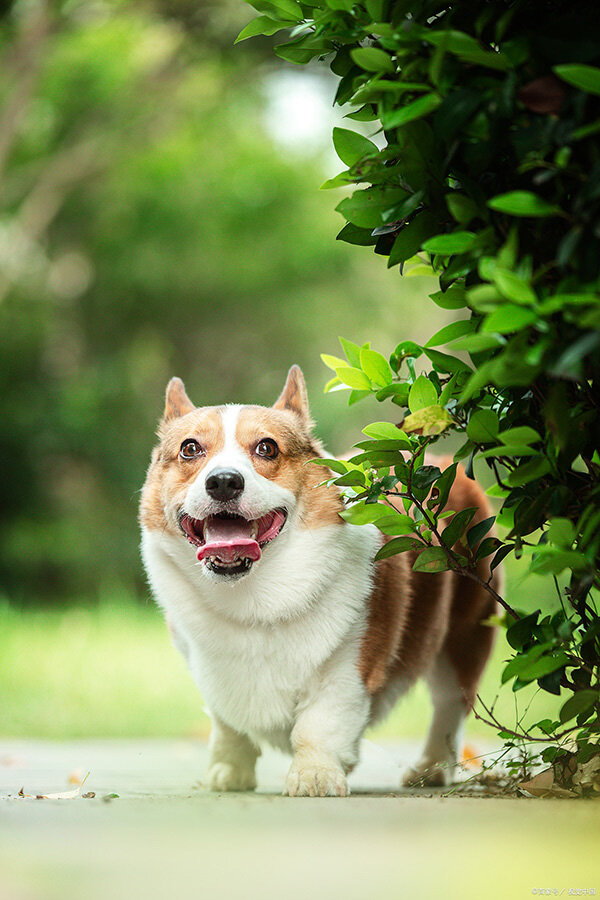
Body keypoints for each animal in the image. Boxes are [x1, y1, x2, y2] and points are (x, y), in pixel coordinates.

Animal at [139, 364, 496, 796]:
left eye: (267, 448)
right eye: (190, 449)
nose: (224, 481)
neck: (254, 593)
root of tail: (447, 463)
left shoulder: (348, 667)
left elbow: (319, 725)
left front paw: (315, 776)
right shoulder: (208, 670)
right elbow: (228, 724)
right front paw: (229, 772)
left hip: (462, 637)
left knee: (449, 705)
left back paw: (431, 768)